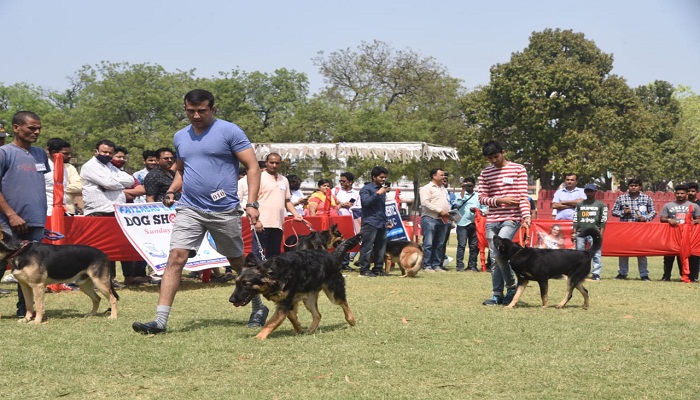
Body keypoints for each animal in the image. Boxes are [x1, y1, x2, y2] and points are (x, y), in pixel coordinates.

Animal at [230, 233, 360, 340]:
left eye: (246, 284)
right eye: (236, 282)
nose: (231, 300)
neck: (275, 275)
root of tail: (331, 256)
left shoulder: (285, 304)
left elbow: (271, 323)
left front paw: (259, 337)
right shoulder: (287, 303)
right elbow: (291, 316)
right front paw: (298, 328)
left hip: (333, 293)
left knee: (343, 302)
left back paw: (351, 320)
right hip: (309, 300)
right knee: (318, 315)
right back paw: (311, 330)